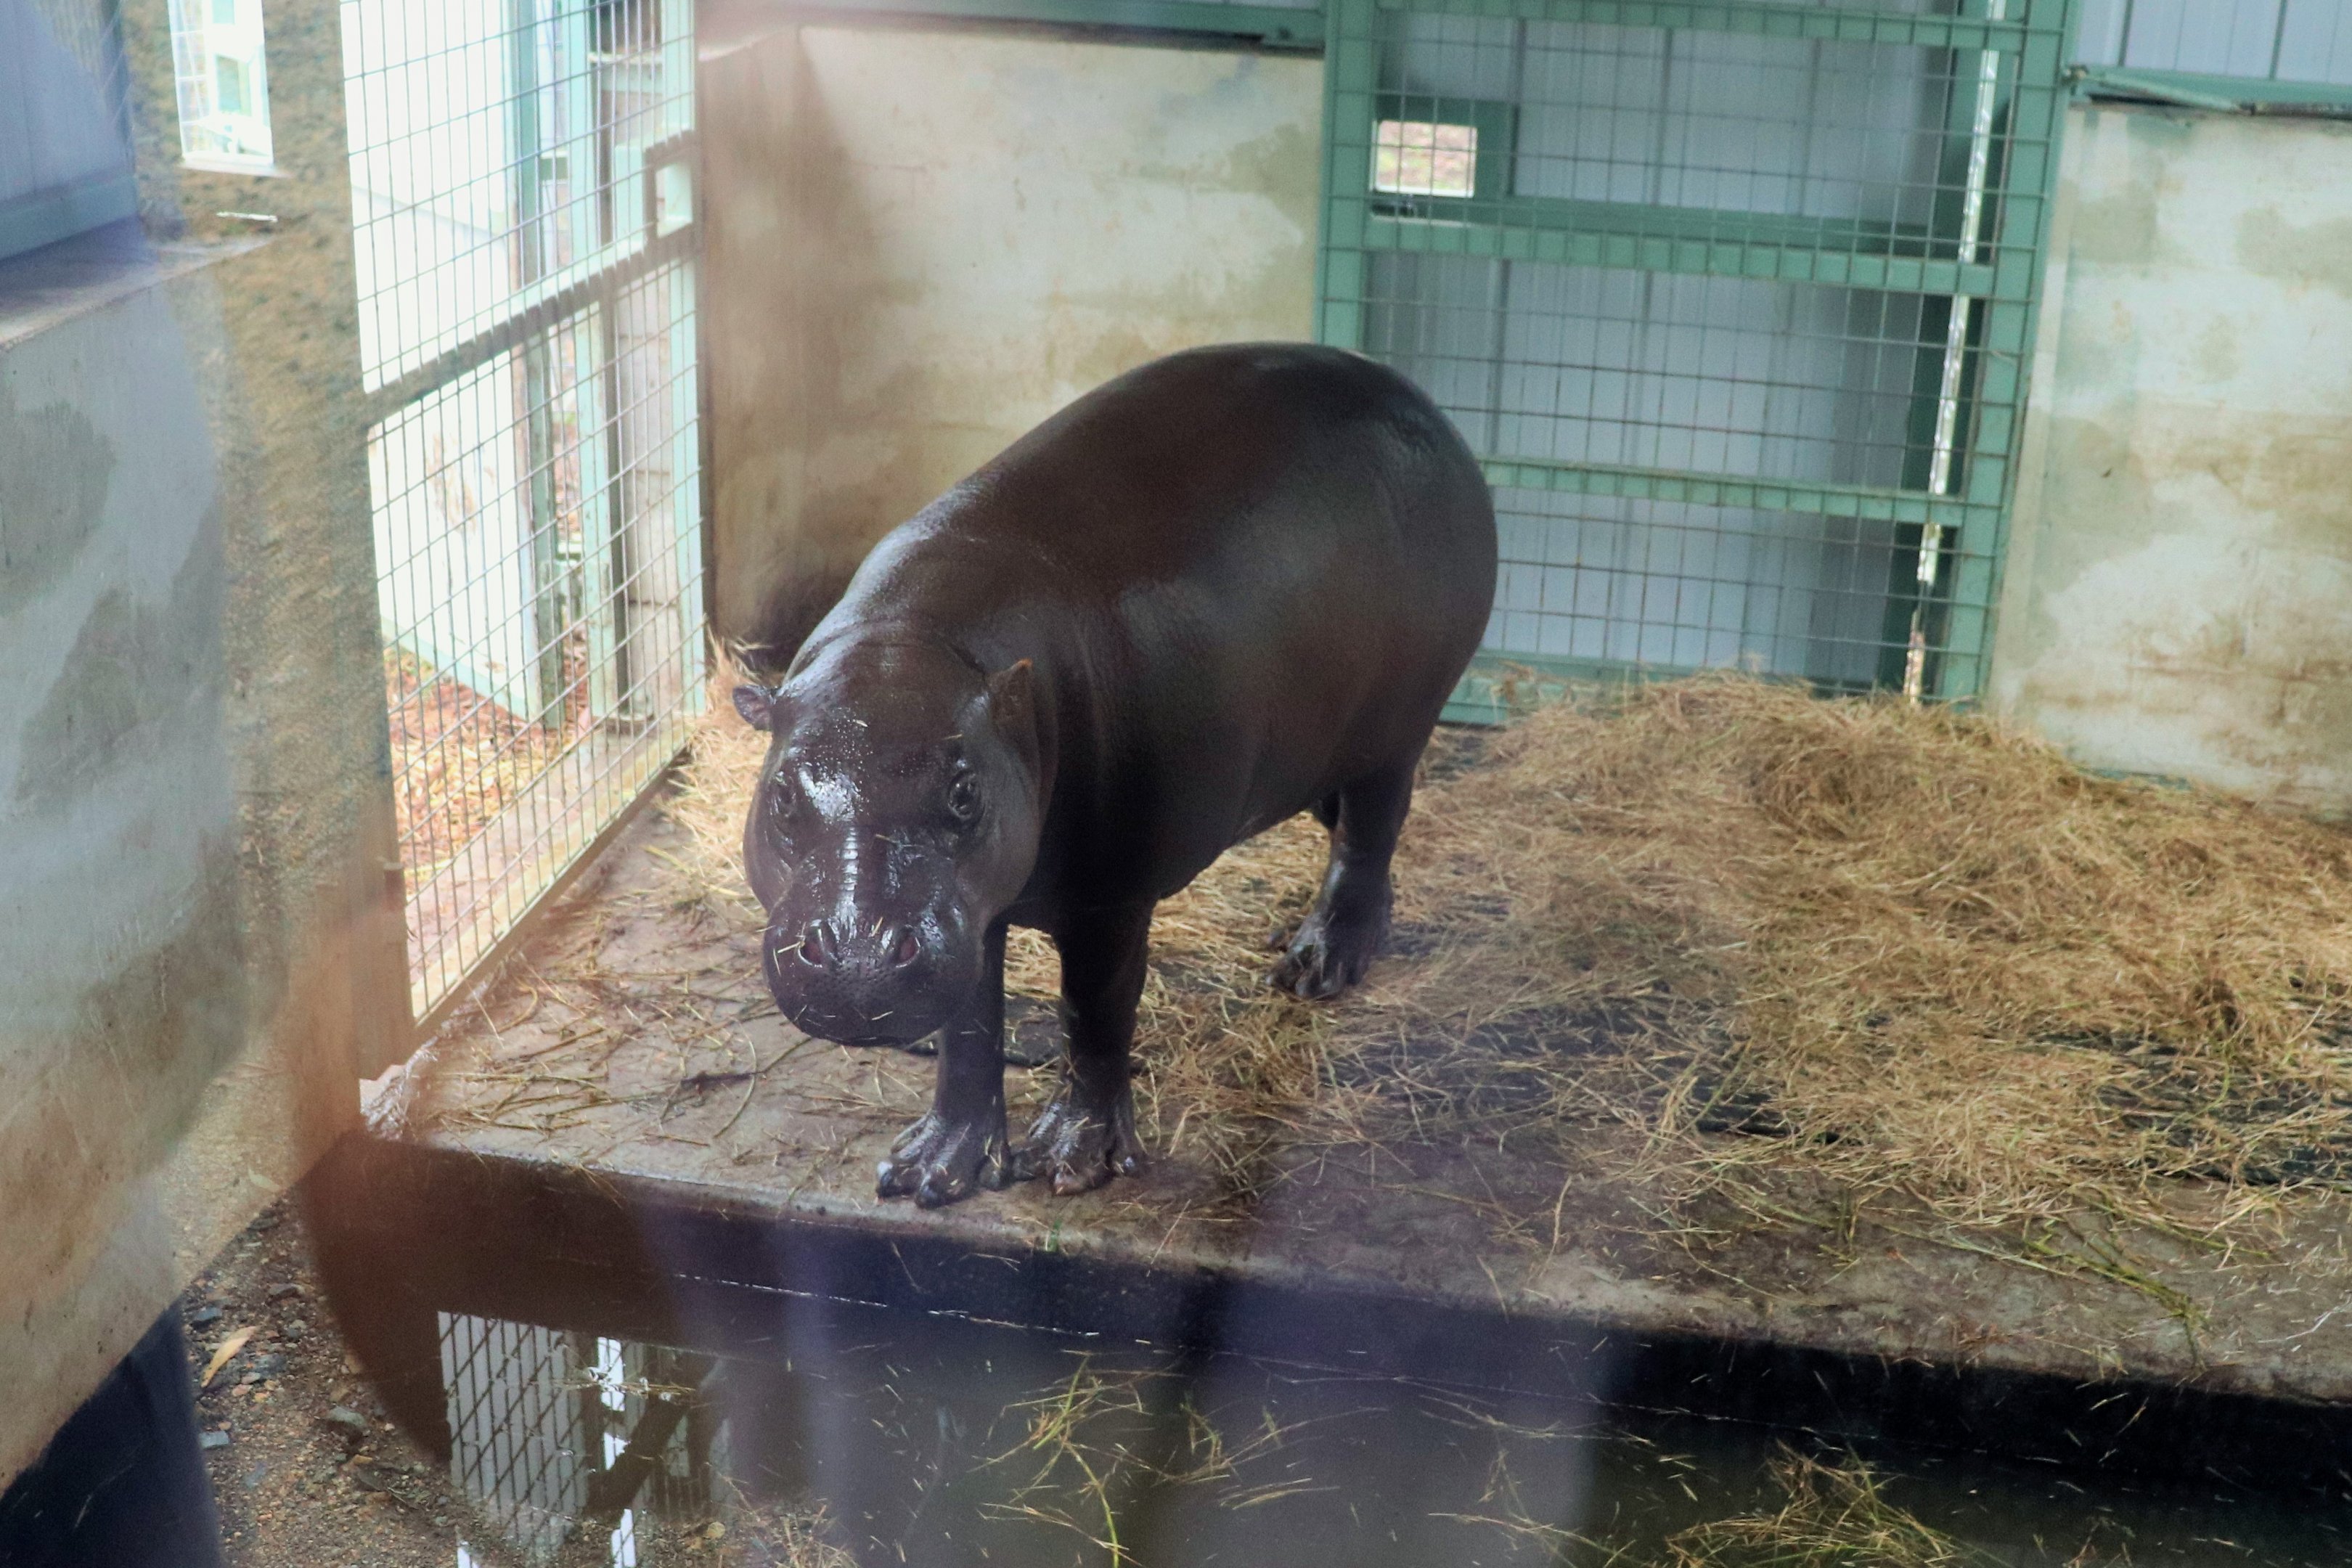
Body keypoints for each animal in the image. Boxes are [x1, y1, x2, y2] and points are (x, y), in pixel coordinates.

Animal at [733, 343, 1497, 1206]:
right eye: (781, 795)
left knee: (1370, 833)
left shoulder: (1112, 899)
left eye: (964, 792)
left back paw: (1317, 965)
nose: (857, 957)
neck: (915, 644)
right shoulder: (975, 912)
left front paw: (1074, 1162)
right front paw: (928, 1171)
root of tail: (1417, 401)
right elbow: (968, 1028)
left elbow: (1094, 1015)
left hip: (1397, 728)